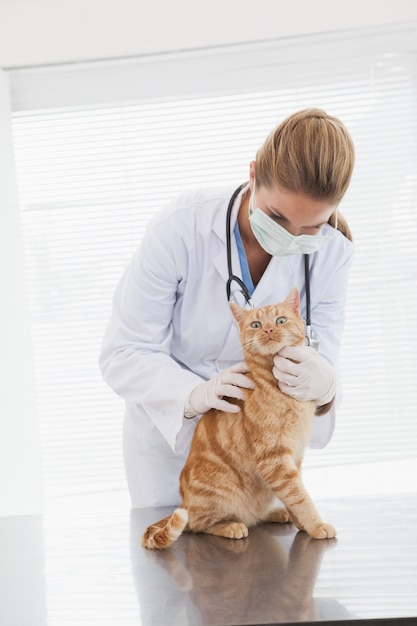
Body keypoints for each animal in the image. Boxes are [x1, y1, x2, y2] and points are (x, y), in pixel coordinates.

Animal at [142, 288, 334, 544]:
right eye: (256, 324)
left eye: (280, 320)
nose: (268, 330)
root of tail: (185, 502)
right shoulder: (273, 458)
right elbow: (299, 496)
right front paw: (316, 524)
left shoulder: (295, 456)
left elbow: (295, 493)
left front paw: (302, 523)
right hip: (219, 493)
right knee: (198, 524)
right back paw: (230, 526)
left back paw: (275, 513)